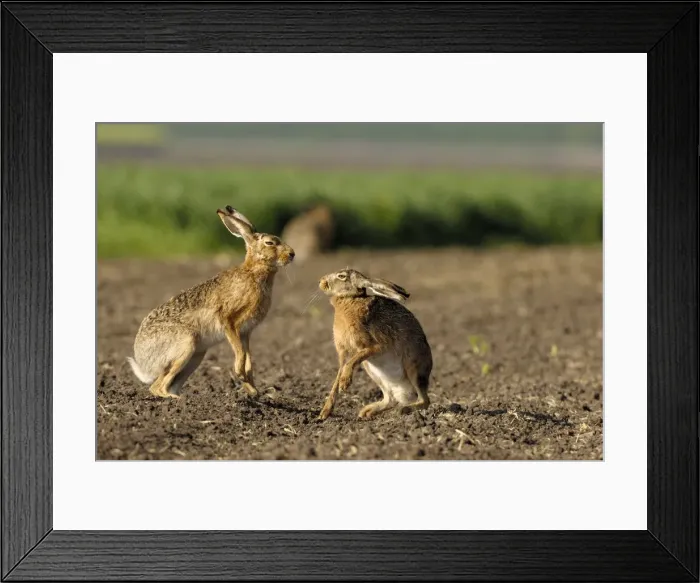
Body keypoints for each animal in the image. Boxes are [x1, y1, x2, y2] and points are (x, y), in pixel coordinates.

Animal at [126, 206, 295, 399]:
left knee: (168, 384)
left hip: (197, 355)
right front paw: (240, 376)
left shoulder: (246, 332)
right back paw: (177, 400)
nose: (292, 254)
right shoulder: (229, 321)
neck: (254, 273)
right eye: (270, 243)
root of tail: (143, 362)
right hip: (186, 344)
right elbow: (240, 353)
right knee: (157, 387)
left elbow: (248, 360)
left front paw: (253, 390)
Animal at [316, 268, 433, 420]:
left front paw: (345, 383)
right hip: (373, 372)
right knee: (390, 399)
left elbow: (352, 362)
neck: (350, 299)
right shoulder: (343, 352)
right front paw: (324, 413)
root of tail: (404, 392)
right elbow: (338, 376)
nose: (321, 281)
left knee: (425, 400)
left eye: (341, 276)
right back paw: (367, 411)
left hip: (414, 368)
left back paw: (402, 410)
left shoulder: (377, 346)